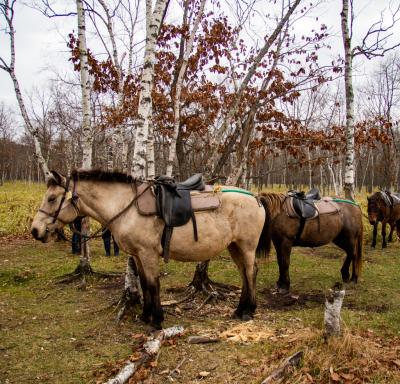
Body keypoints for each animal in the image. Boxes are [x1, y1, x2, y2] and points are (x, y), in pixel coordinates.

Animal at [30, 170, 268, 328]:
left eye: (52, 198)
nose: (35, 230)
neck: (127, 207)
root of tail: (256, 198)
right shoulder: (137, 255)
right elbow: (144, 284)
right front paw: (145, 316)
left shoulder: (148, 253)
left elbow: (153, 285)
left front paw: (157, 320)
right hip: (234, 246)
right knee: (244, 274)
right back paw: (239, 309)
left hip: (247, 246)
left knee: (251, 272)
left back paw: (249, 311)